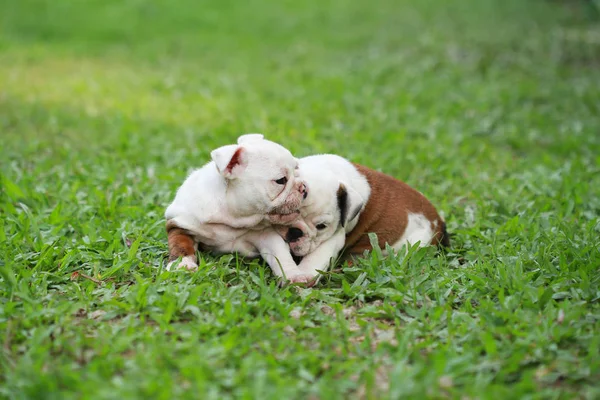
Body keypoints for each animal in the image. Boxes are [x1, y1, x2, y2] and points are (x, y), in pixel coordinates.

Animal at [164, 134, 314, 284]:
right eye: (281, 180)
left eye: (297, 169)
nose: (304, 187)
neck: (232, 217)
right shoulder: (180, 224)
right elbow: (181, 245)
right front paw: (183, 265)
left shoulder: (267, 236)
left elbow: (280, 255)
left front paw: (293, 275)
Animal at [278, 154, 448, 284]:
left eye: (321, 226)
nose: (294, 231)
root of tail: (439, 222)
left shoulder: (335, 236)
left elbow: (317, 256)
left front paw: (304, 274)